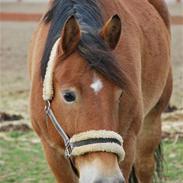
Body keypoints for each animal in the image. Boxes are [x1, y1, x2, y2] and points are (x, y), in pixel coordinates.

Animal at [28, 0, 172, 183]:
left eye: (120, 94)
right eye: (68, 96)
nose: (105, 177)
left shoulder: (127, 142)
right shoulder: (52, 152)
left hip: (152, 119)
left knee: (144, 166)